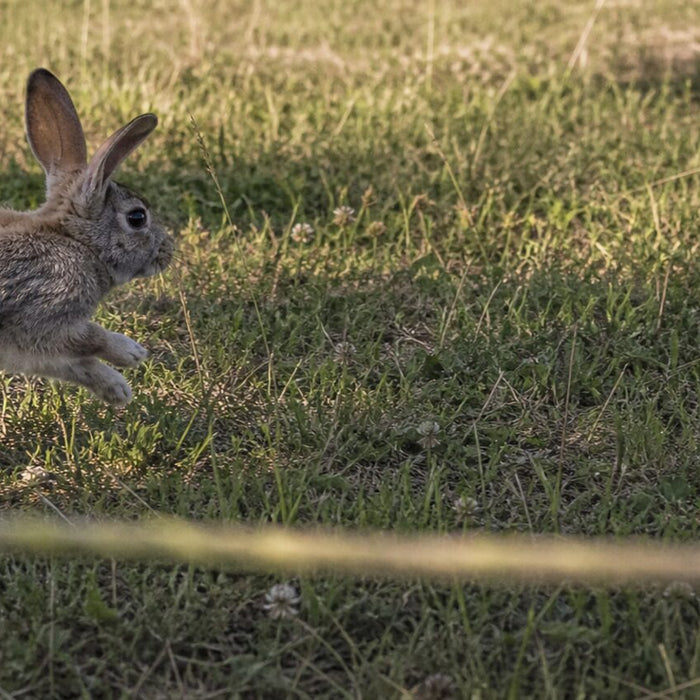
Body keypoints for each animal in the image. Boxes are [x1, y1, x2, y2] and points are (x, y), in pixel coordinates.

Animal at [0, 68, 173, 406]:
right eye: (137, 217)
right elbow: (89, 337)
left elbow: (69, 363)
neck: (75, 242)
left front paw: (117, 389)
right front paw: (130, 353)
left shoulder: (26, 347)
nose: (168, 251)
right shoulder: (44, 315)